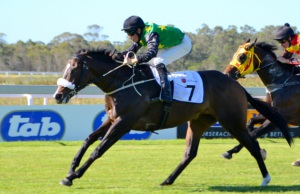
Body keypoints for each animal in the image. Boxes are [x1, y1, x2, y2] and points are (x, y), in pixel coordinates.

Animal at [54, 48, 292, 186]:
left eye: (73, 69)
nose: (58, 95)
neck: (122, 82)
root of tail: (237, 85)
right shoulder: (112, 119)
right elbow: (89, 139)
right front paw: (71, 168)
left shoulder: (124, 122)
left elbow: (99, 149)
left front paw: (73, 176)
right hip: (199, 122)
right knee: (190, 153)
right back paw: (167, 180)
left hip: (232, 121)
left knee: (253, 145)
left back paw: (265, 178)